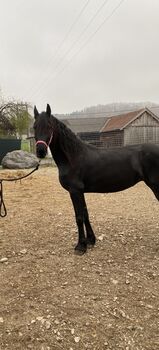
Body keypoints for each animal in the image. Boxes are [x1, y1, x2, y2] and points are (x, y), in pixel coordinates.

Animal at [33, 104, 159, 254]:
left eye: (49, 126)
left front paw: (81, 246)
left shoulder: (74, 191)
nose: (40, 151)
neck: (74, 157)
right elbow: (85, 214)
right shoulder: (80, 192)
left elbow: (79, 217)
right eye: (34, 126)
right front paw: (90, 240)